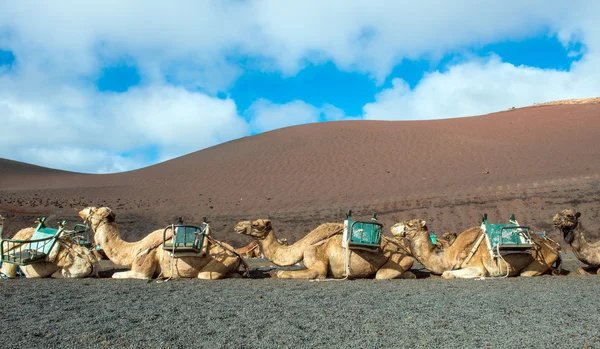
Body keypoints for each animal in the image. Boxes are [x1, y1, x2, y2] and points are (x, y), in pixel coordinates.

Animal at [79, 207, 244, 278]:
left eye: (92, 211)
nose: (81, 212)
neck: (134, 249)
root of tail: (237, 254)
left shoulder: (142, 269)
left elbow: (116, 275)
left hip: (218, 265)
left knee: (204, 275)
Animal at [233, 219, 412, 278]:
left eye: (257, 224)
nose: (237, 226)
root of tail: (405, 251)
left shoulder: (316, 259)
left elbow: (283, 273)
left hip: (397, 260)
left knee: (381, 274)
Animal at [392, 218, 560, 278]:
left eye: (410, 224)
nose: (394, 226)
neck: (449, 256)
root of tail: (555, 247)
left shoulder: (478, 266)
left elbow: (446, 274)